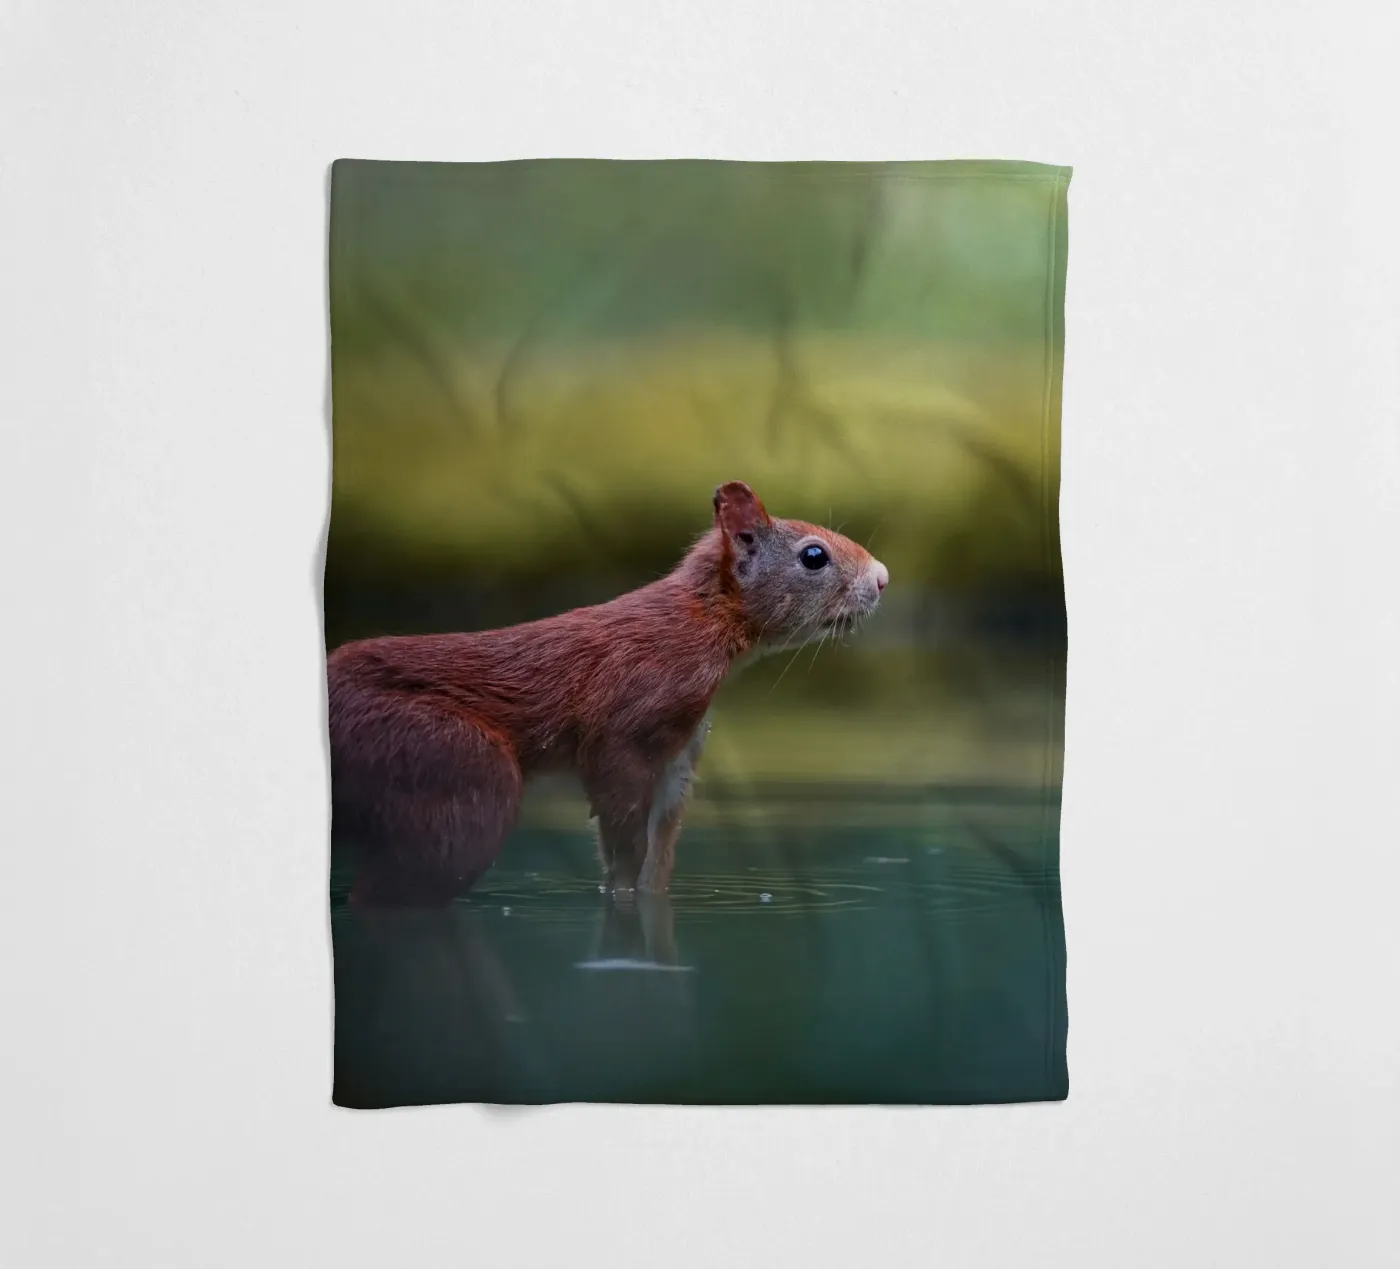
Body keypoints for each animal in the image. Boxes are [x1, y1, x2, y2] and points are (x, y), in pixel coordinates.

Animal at [327, 481, 888, 907]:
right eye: (813, 556)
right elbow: (622, 833)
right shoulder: (626, 725)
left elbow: (659, 853)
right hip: (450, 765)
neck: (700, 623)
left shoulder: (679, 754)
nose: (882, 578)